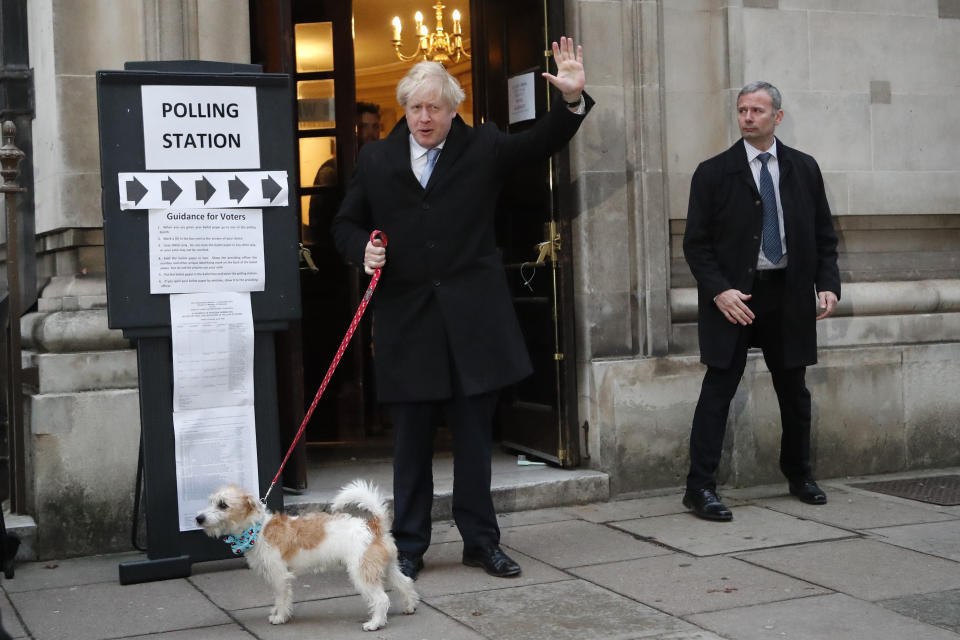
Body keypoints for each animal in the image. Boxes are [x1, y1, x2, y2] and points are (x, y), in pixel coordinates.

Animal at [196, 480, 420, 632]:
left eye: (223, 505)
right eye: (211, 502)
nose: (198, 518)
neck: (257, 529)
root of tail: (373, 526)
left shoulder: (279, 576)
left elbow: (282, 598)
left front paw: (280, 617)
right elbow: (279, 598)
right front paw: (277, 613)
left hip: (362, 573)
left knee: (382, 599)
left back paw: (374, 623)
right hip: (387, 568)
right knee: (405, 583)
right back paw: (409, 606)